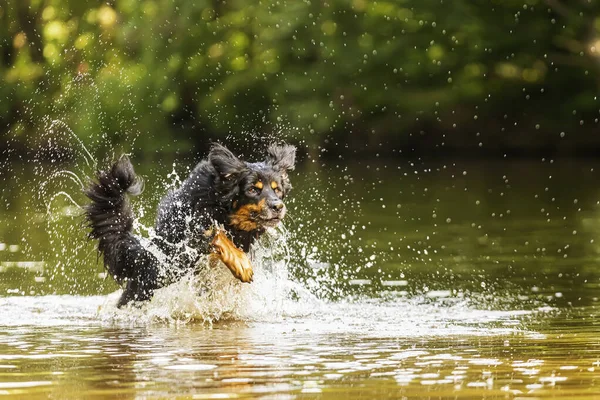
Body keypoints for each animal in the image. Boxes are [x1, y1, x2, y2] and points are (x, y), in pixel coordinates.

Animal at [84, 144, 296, 306]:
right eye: (252, 189)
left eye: (277, 190)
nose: (278, 206)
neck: (220, 206)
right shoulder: (189, 235)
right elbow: (218, 234)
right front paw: (241, 264)